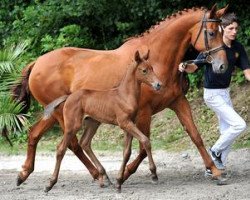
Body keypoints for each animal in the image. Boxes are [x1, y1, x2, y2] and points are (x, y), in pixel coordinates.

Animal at [43, 49, 162, 191]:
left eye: (152, 68)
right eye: (144, 70)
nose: (158, 84)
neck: (124, 95)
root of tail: (68, 97)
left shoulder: (129, 125)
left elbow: (126, 152)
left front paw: (119, 181)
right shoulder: (125, 123)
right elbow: (145, 140)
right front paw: (154, 174)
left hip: (93, 123)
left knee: (85, 142)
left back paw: (103, 177)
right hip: (72, 126)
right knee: (61, 149)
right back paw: (49, 184)